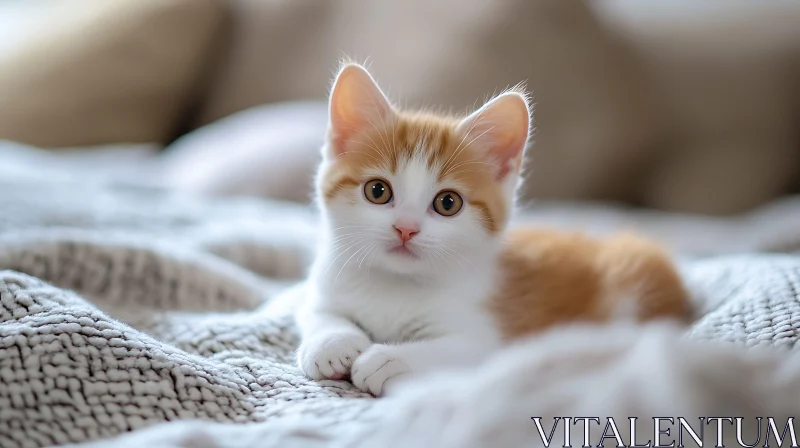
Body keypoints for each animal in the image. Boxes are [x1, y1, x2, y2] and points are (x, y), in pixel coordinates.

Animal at [296, 63, 692, 396]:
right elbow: (316, 311)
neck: (396, 284)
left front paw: (389, 360)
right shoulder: (322, 283)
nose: (405, 229)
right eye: (377, 191)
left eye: (448, 203)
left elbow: (460, 349)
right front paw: (332, 343)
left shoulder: (489, 336)